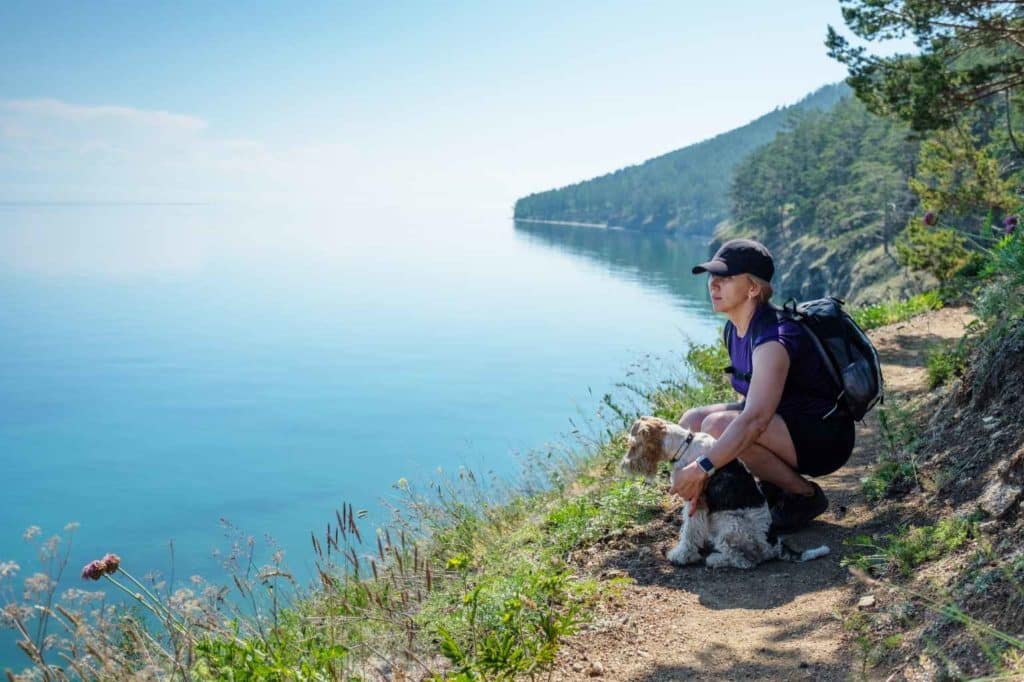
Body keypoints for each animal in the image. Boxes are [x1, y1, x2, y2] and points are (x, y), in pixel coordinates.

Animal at [618, 413, 827, 569]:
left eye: (633, 445)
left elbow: (689, 531)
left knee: (745, 560)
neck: (684, 447)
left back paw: (716, 559)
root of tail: (774, 545)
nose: (624, 466)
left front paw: (682, 555)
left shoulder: (695, 501)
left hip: (730, 525)